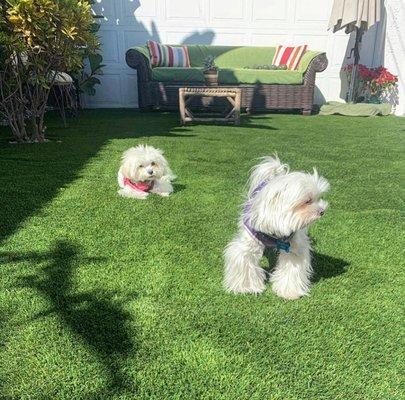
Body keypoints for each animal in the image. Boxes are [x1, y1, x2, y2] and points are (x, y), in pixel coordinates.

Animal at [223, 156, 330, 300]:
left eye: (319, 198)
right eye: (307, 201)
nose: (322, 210)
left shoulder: (293, 247)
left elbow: (291, 268)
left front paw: (290, 291)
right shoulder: (248, 244)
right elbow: (246, 261)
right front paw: (247, 288)